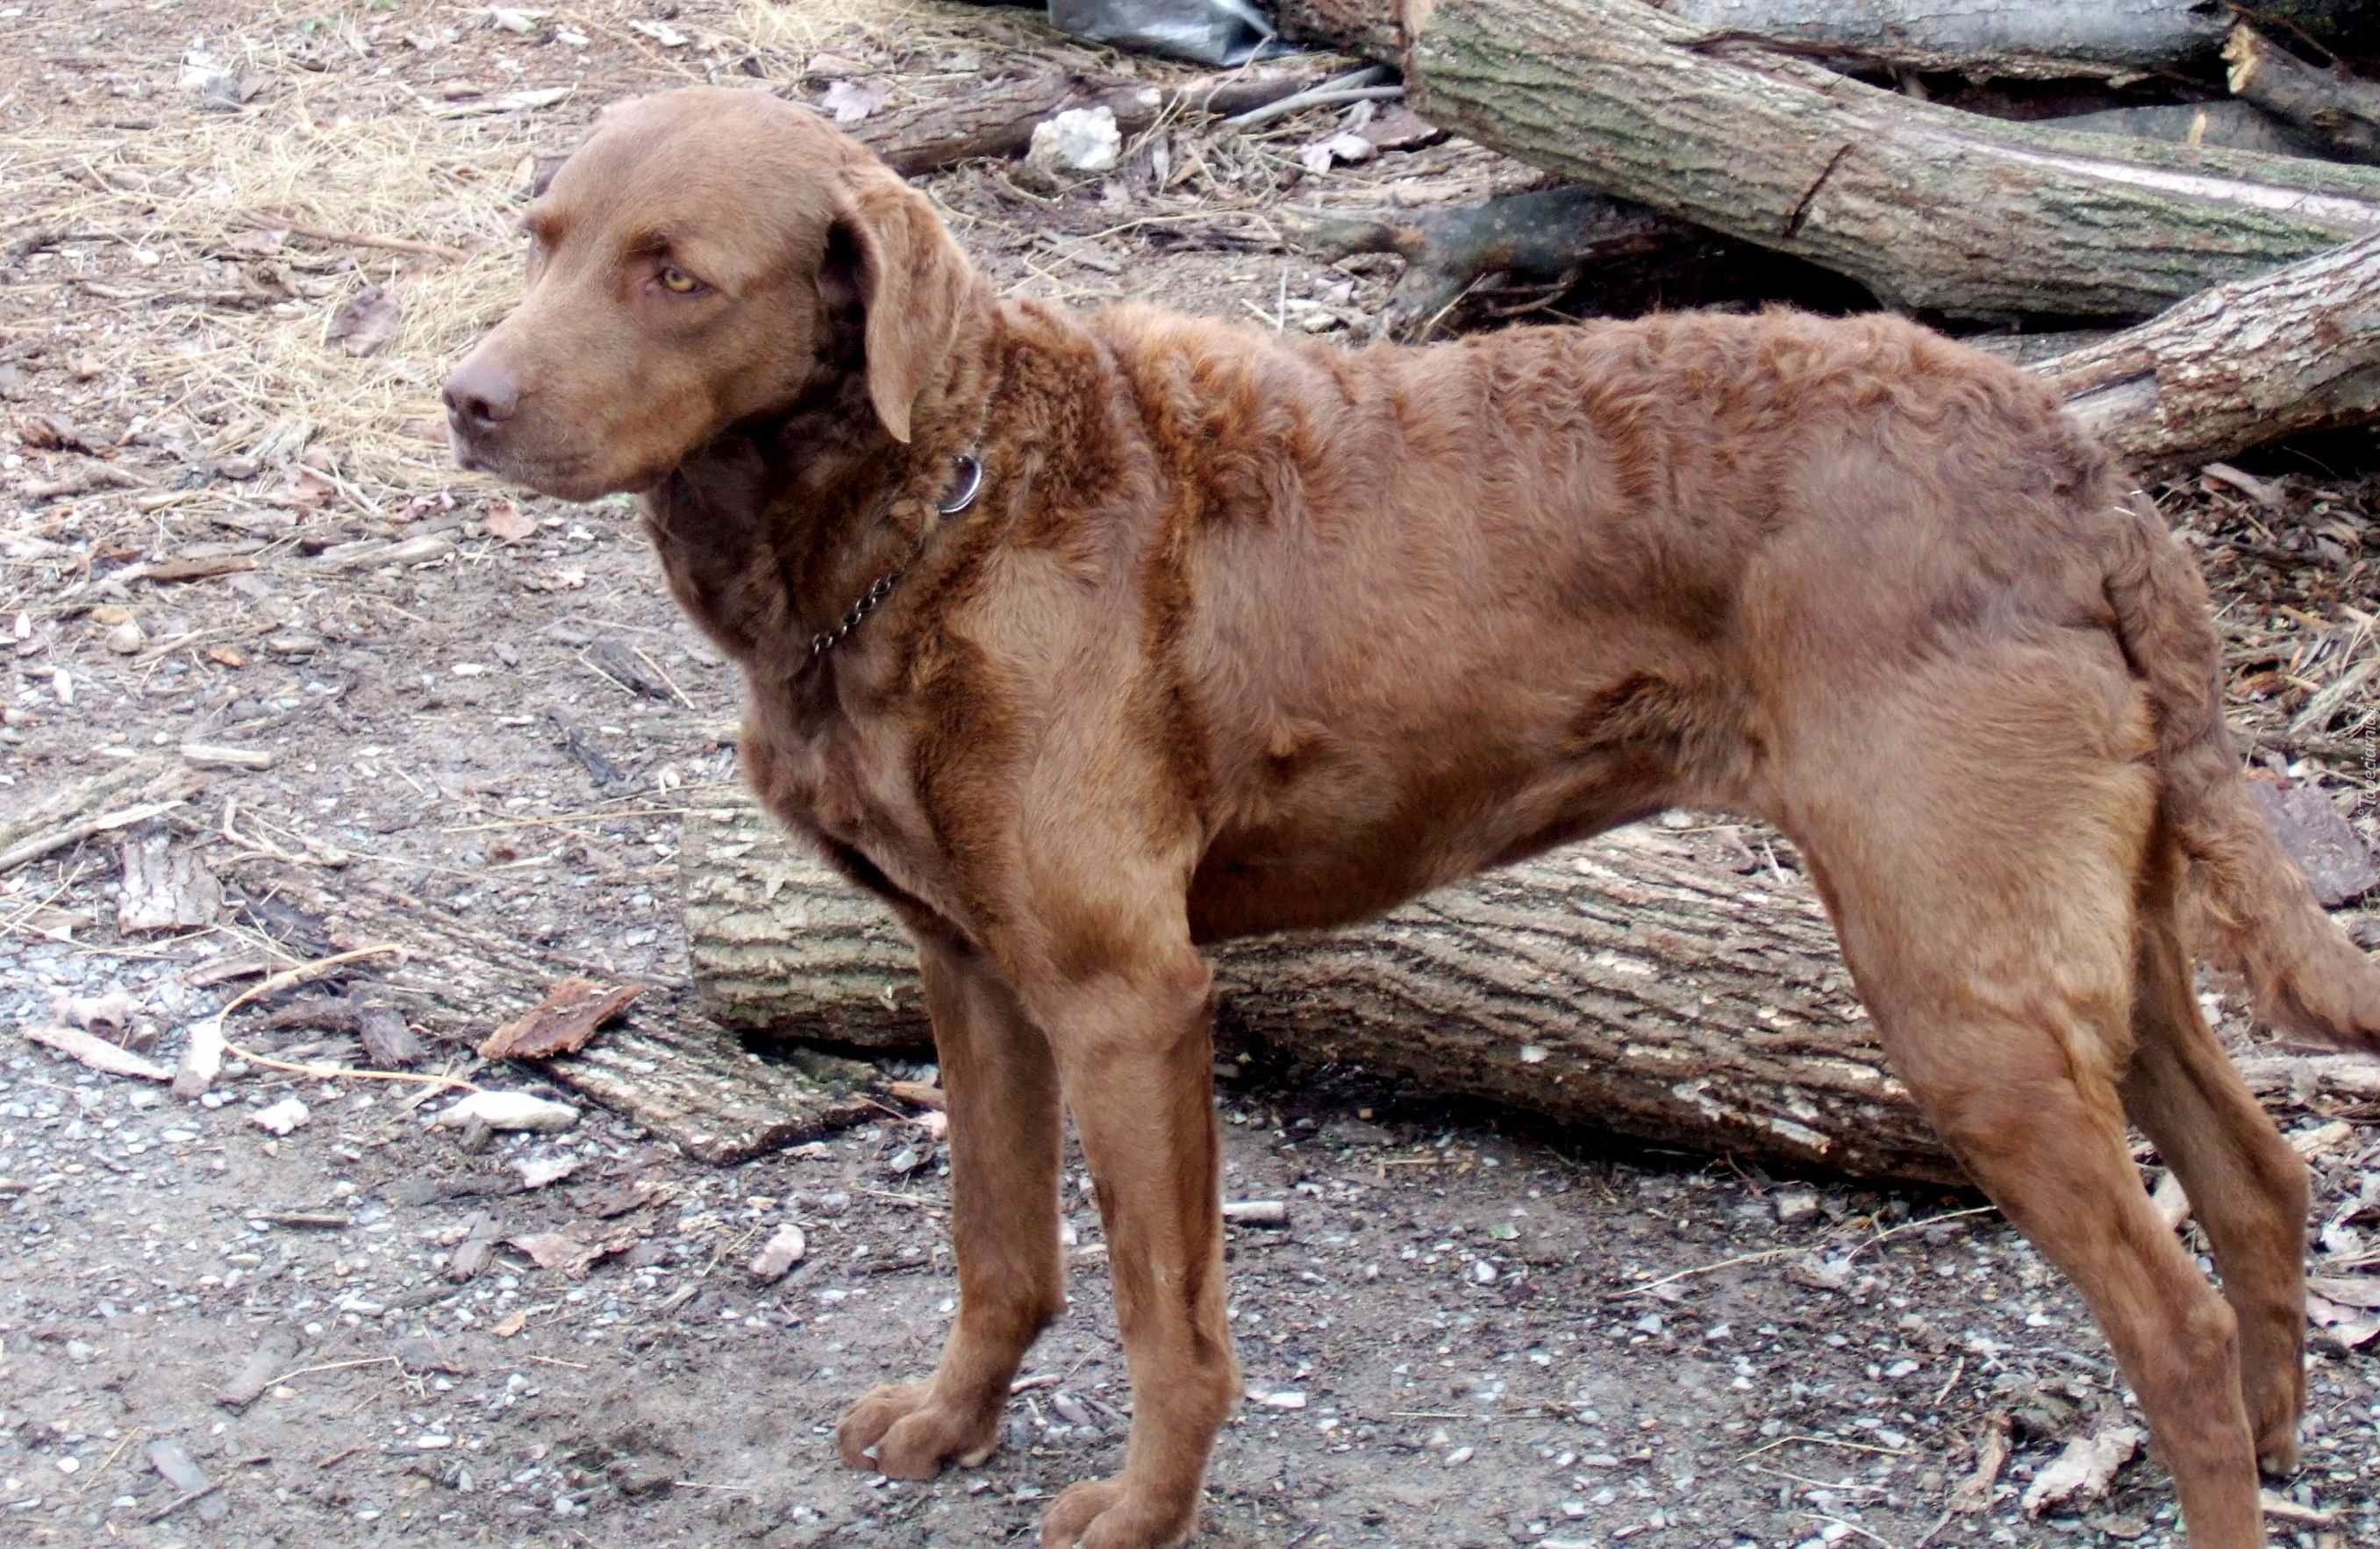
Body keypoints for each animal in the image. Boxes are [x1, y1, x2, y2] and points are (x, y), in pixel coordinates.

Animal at [447, 88, 2380, 1549]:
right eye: (540, 238)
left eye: (674, 273)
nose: (465, 399)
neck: (940, 505)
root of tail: (2078, 467)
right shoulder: (971, 967)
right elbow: (998, 1248)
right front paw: (946, 1426)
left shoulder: (1127, 991)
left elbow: (1162, 1309)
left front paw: (1136, 1514)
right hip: (2084, 915)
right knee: (2259, 1179)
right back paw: (2280, 1435)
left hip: (1954, 974)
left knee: (2175, 1318)